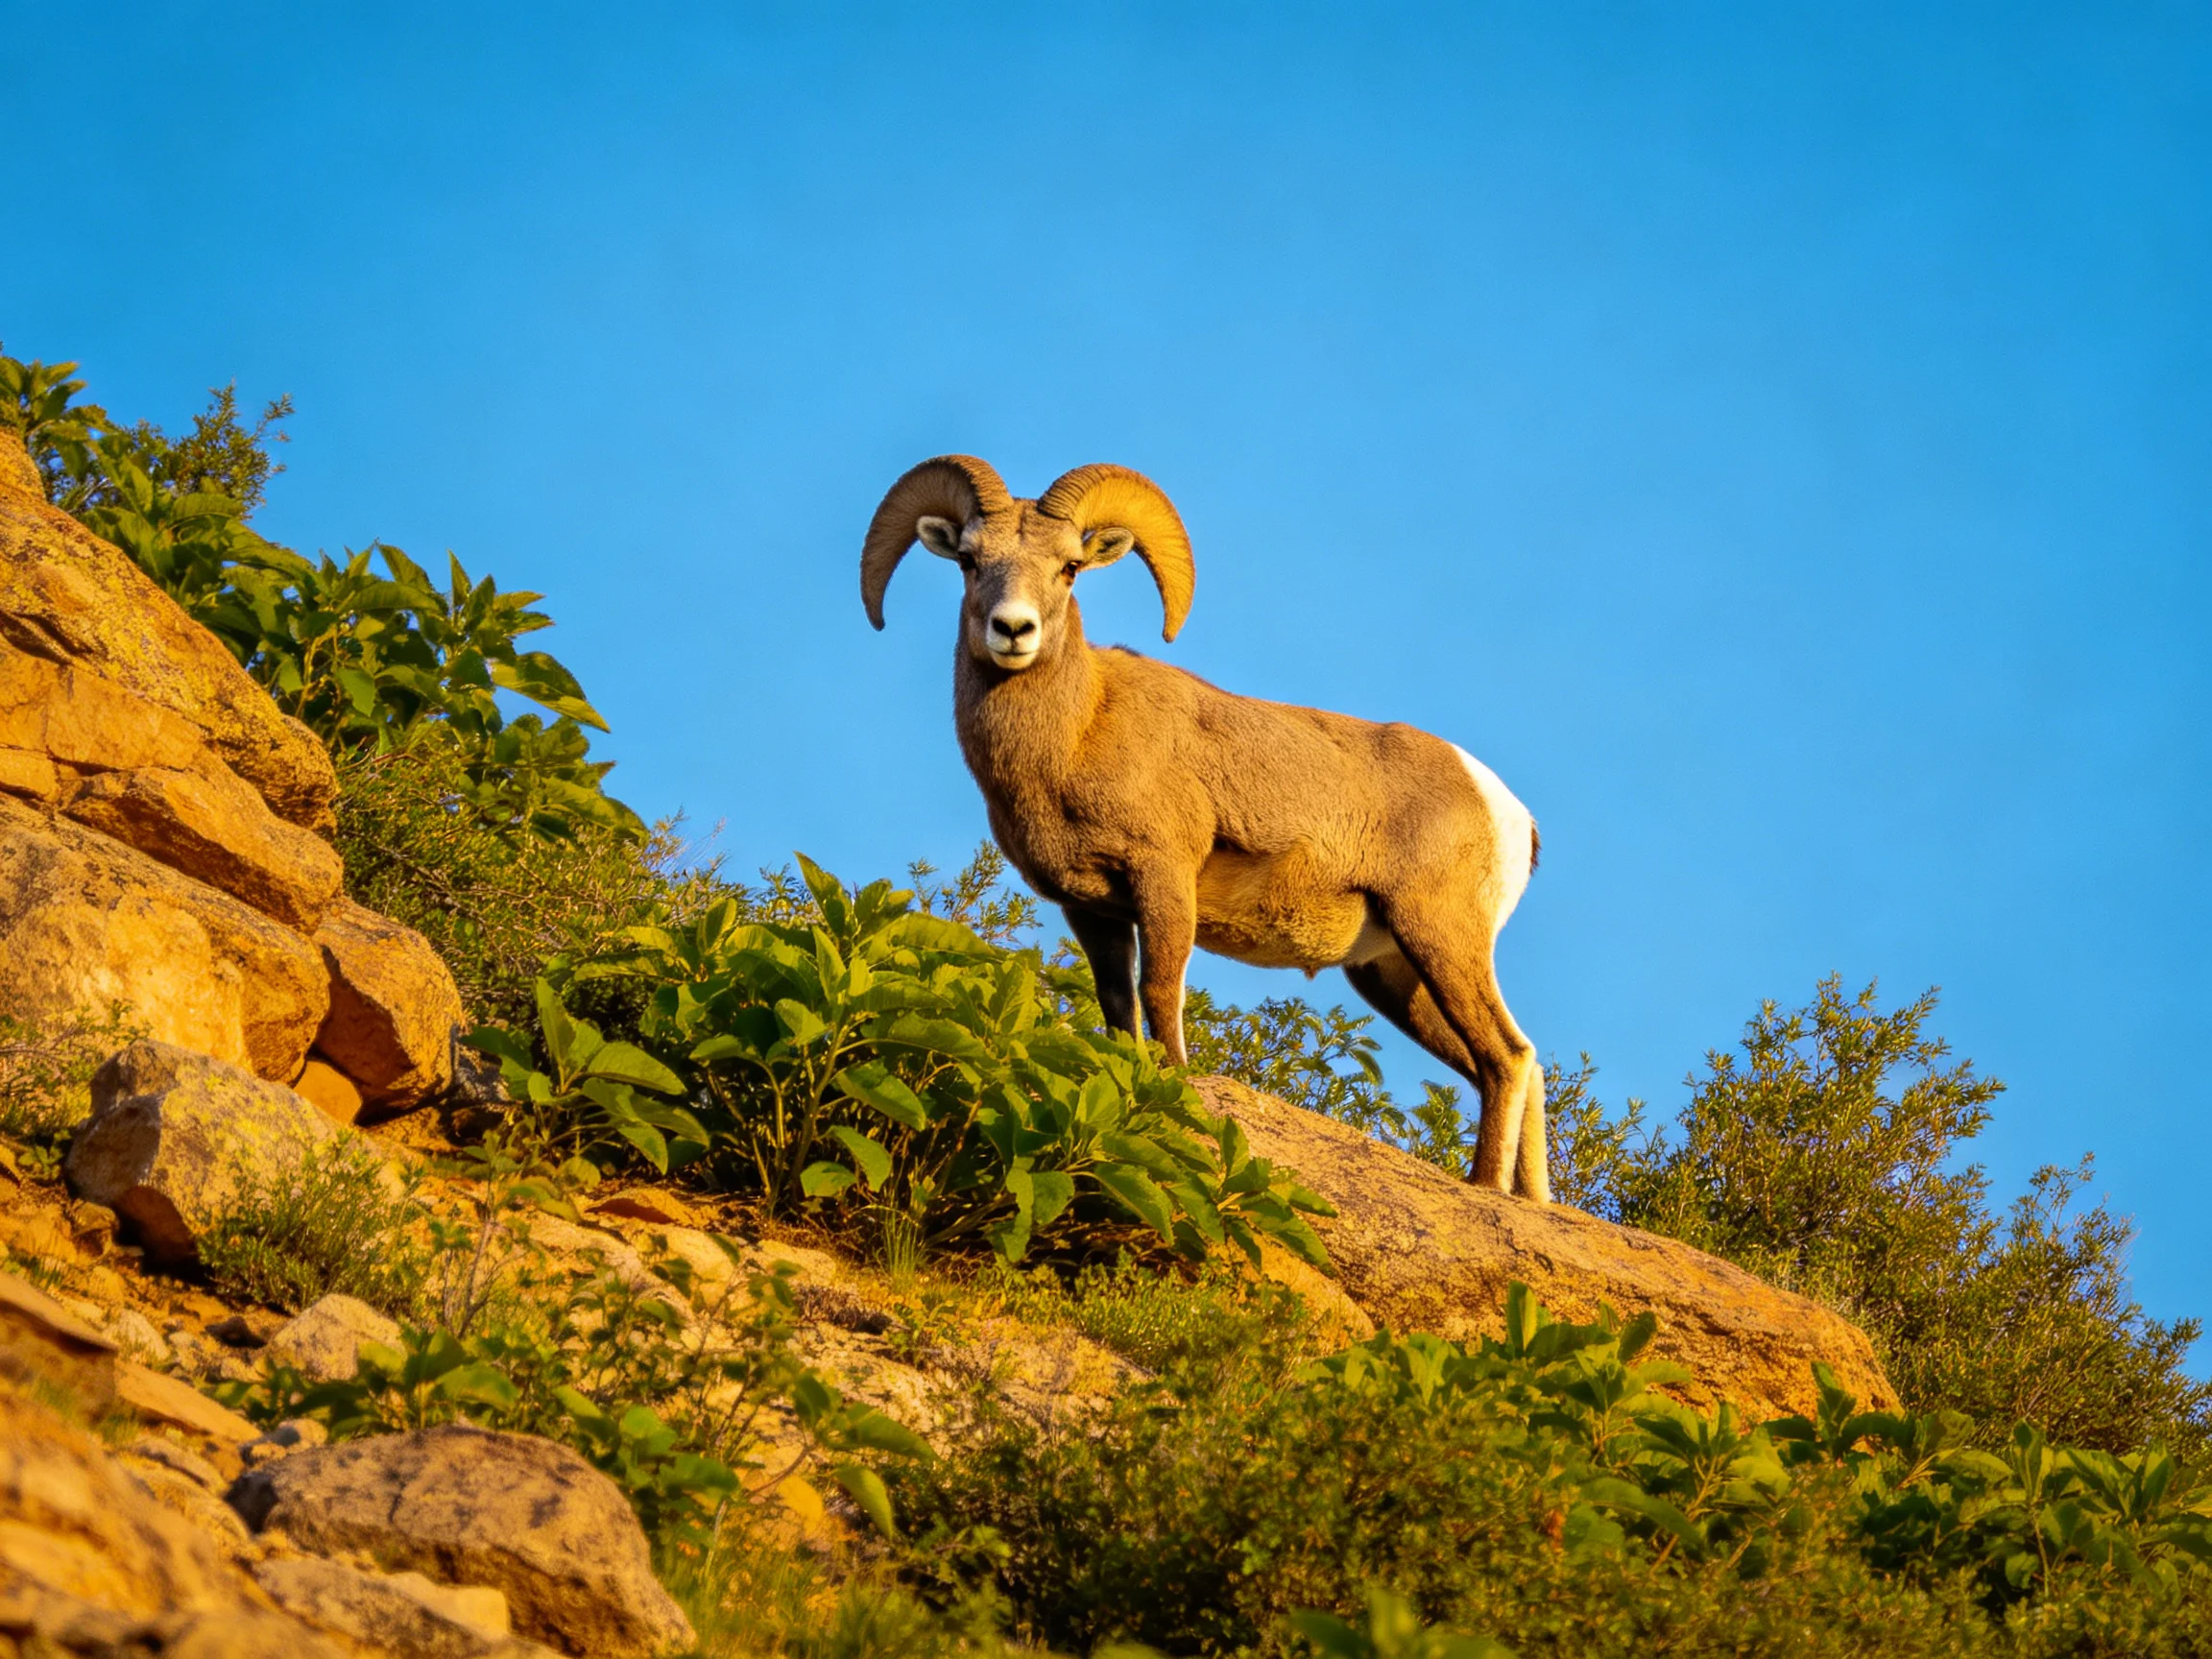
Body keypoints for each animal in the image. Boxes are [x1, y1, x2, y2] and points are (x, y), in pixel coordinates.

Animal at [861, 455, 1550, 1201]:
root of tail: (1509, 812)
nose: (1012, 630)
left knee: (1507, 1058)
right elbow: (1117, 1008)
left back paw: (1486, 1190)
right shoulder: (1092, 912)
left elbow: (1159, 994)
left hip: (1440, 936)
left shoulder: (1163, 881)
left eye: (1070, 566)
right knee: (1515, 1064)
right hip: (1394, 975)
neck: (1078, 732)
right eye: (968, 560)